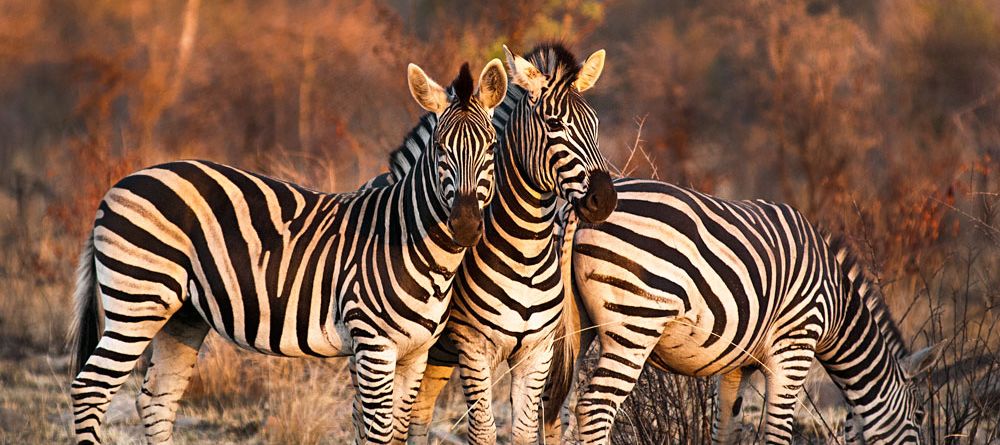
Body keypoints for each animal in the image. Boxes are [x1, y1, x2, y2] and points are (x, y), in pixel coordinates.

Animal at [68, 59, 508, 444]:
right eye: (440, 149)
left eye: (491, 147)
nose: (465, 225)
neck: (410, 237)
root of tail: (117, 186)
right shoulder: (372, 344)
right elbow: (378, 432)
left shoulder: (414, 352)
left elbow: (396, 432)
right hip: (138, 300)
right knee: (90, 389)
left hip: (181, 315)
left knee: (156, 400)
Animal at [360, 42, 616, 444]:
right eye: (554, 124)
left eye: (595, 124)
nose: (604, 199)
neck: (527, 252)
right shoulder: (473, 346)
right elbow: (483, 431)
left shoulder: (537, 352)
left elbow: (524, 432)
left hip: (434, 355)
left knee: (418, 415)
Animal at [544, 178, 940, 444]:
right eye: (920, 415)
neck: (838, 307)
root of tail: (581, 205)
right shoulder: (795, 346)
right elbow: (778, 433)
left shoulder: (737, 364)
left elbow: (726, 430)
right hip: (635, 326)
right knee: (594, 408)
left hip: (573, 326)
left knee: (552, 405)